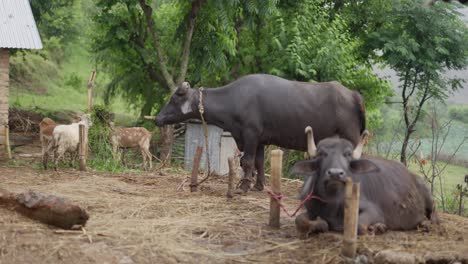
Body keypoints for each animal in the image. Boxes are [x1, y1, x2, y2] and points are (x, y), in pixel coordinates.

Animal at [154, 73, 366, 193]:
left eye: (174, 99)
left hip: (351, 137)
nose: (157, 118)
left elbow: (247, 161)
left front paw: (243, 187)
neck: (234, 99)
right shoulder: (261, 140)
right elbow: (259, 162)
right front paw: (258, 185)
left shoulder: (250, 134)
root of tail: (353, 94)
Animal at [290, 128, 436, 237]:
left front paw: (377, 227)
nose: (335, 174)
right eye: (321, 154)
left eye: (348, 154)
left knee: (433, 215)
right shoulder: (310, 209)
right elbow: (299, 220)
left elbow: (359, 226)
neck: (332, 201)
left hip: (428, 195)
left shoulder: (373, 210)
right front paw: (320, 224)